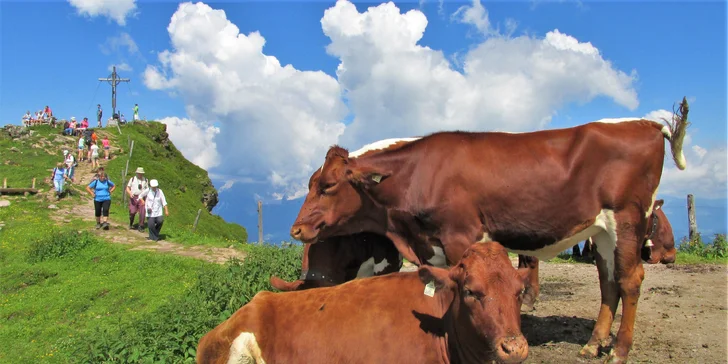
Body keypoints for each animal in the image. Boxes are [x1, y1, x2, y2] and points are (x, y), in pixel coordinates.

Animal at [288, 104, 688, 362]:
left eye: (327, 186)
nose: (296, 228)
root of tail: (647, 124)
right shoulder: (432, 244)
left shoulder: (461, 234)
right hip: (603, 230)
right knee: (608, 281)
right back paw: (594, 344)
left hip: (629, 218)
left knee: (630, 279)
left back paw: (619, 350)